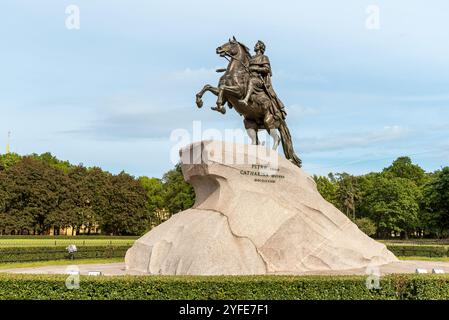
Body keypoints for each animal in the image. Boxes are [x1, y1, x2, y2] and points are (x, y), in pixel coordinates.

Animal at [193, 37, 300, 168]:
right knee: (255, 140)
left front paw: (220, 106)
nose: (218, 49)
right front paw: (199, 101)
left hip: (269, 122)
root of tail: (281, 116)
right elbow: (208, 86)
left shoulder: (238, 92)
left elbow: (223, 88)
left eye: (231, 43)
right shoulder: (223, 93)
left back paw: (272, 155)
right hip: (249, 123)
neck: (234, 72)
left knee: (277, 138)